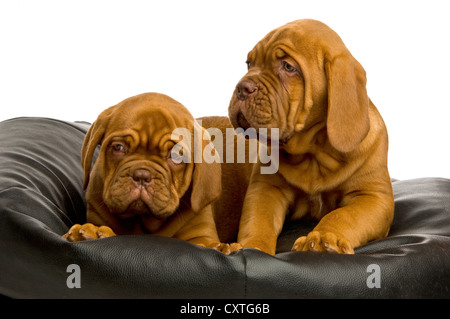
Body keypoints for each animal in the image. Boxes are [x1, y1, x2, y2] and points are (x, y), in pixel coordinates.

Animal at [63, 93, 244, 255]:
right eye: (118, 147)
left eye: (176, 156)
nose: (142, 175)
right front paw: (88, 233)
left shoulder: (201, 233)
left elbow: (205, 242)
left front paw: (219, 248)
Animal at [229, 19, 394, 255]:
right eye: (249, 64)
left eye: (288, 67)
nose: (242, 87)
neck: (314, 151)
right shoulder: (265, 189)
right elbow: (257, 222)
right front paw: (252, 248)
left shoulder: (373, 197)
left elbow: (343, 215)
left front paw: (324, 237)